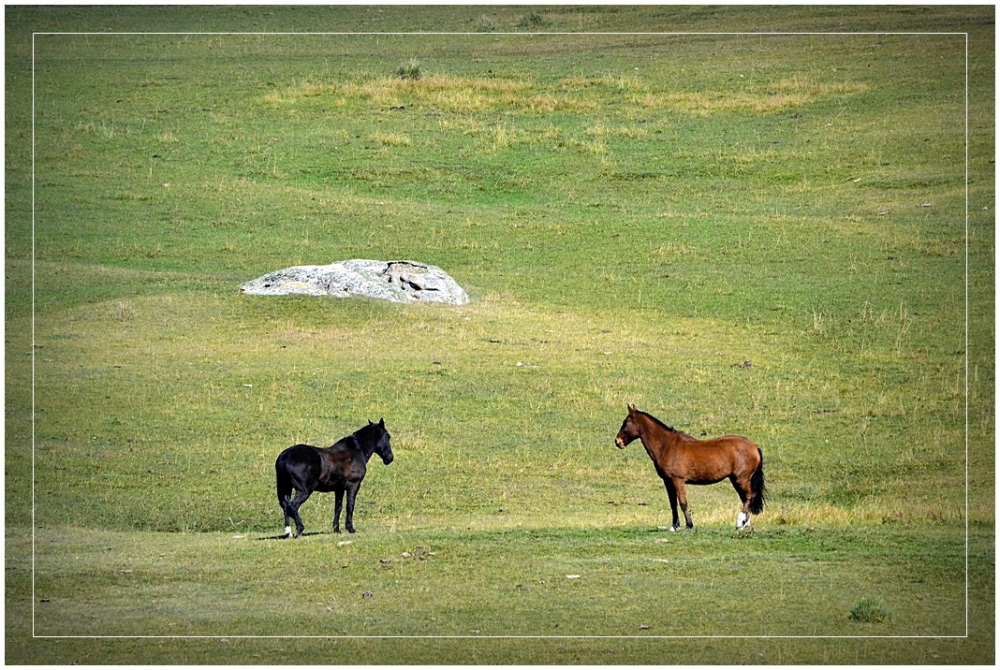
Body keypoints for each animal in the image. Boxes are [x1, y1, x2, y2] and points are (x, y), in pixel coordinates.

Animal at [608, 406, 764, 532]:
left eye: (625, 422)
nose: (617, 441)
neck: (667, 445)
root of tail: (754, 446)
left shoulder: (678, 480)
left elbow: (683, 502)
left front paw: (689, 525)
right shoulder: (668, 481)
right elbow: (673, 503)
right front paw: (674, 526)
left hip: (741, 479)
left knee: (749, 496)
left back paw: (740, 522)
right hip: (736, 480)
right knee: (745, 498)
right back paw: (744, 523)